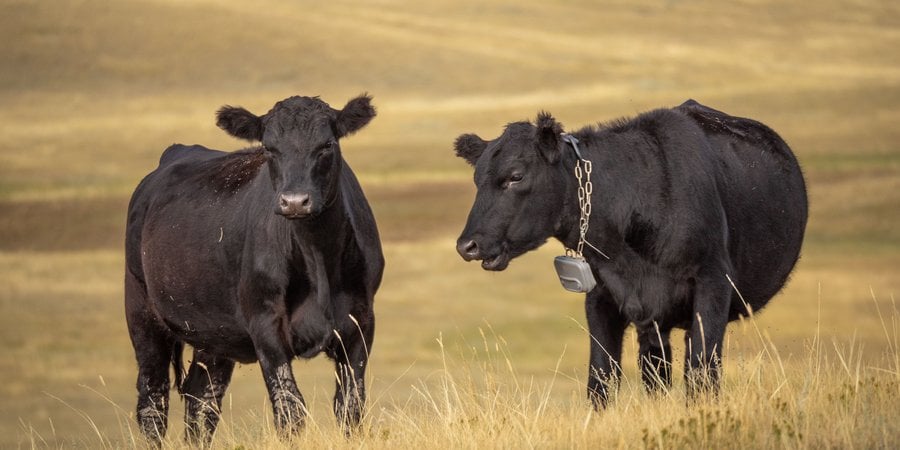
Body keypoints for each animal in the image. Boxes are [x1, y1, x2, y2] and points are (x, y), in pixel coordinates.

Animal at [124, 94, 384, 446]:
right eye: (269, 148)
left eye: (327, 145)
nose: (295, 202)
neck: (316, 258)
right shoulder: (265, 324)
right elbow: (290, 407)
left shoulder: (360, 322)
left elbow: (350, 406)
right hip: (142, 311)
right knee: (153, 401)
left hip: (214, 331)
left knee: (202, 401)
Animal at [453, 100, 807, 407]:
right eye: (477, 180)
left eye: (516, 176)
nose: (467, 245)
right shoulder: (602, 296)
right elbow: (601, 378)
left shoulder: (714, 284)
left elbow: (701, 370)